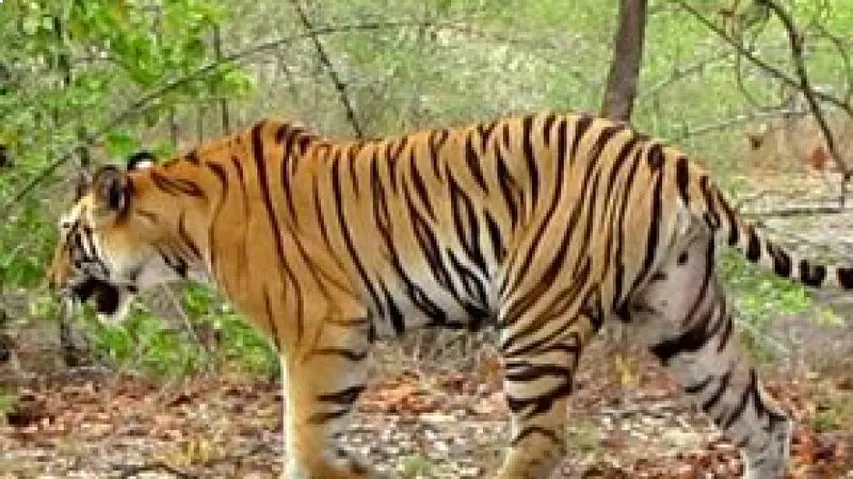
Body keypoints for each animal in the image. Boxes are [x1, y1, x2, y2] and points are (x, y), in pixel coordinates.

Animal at [47, 112, 853, 479]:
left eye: (67, 234)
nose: (49, 283)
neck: (178, 226)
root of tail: (668, 155)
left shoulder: (321, 332)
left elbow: (304, 438)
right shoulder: (339, 339)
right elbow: (321, 435)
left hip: (535, 317)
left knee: (539, 442)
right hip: (682, 320)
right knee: (764, 418)